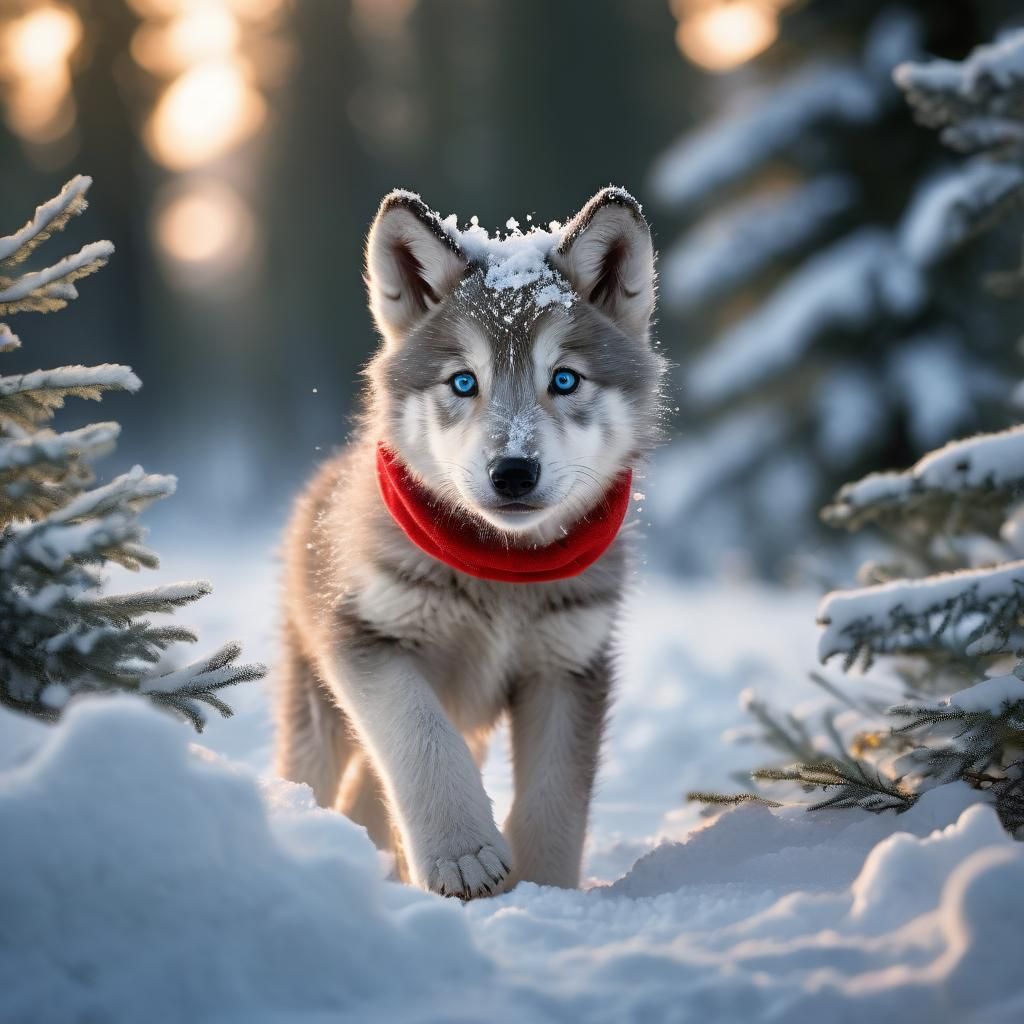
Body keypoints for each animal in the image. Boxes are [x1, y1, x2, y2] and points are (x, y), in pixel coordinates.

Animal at [275, 186, 666, 899]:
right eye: (463, 382)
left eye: (564, 379)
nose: (512, 472)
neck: (500, 576)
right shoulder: (368, 641)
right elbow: (421, 741)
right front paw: (463, 855)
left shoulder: (568, 666)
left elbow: (554, 801)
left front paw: (546, 893)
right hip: (316, 707)